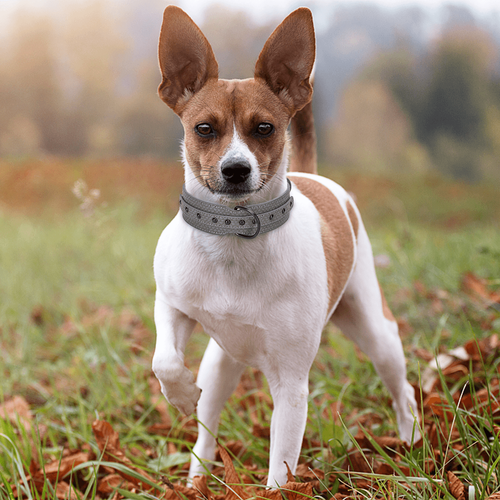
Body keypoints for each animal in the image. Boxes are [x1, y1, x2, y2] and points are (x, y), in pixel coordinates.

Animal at [151, 5, 418, 486]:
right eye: (204, 128)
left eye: (264, 128)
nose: (236, 169)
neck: (233, 238)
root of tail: (316, 176)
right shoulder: (172, 303)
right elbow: (164, 360)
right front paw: (179, 394)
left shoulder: (291, 384)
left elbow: (282, 465)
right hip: (220, 365)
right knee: (208, 422)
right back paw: (196, 479)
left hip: (375, 332)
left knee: (401, 387)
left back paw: (409, 443)